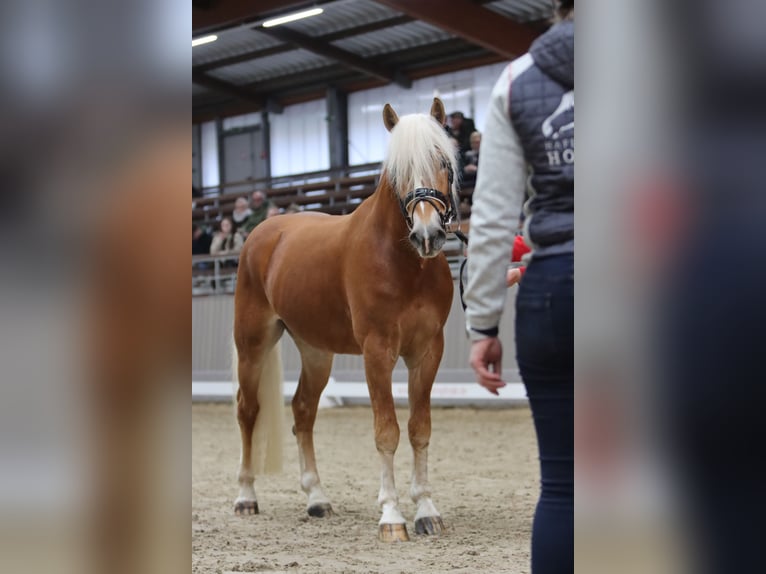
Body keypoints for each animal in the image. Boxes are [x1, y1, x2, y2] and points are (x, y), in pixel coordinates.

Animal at [232, 97, 459, 542]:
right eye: (397, 172)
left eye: (442, 161)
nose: (428, 235)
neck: (406, 263)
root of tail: (262, 233)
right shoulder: (377, 351)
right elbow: (386, 431)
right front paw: (391, 516)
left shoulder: (428, 352)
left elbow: (419, 428)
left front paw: (426, 510)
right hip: (251, 344)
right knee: (248, 411)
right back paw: (246, 497)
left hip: (316, 351)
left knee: (303, 411)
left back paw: (317, 498)